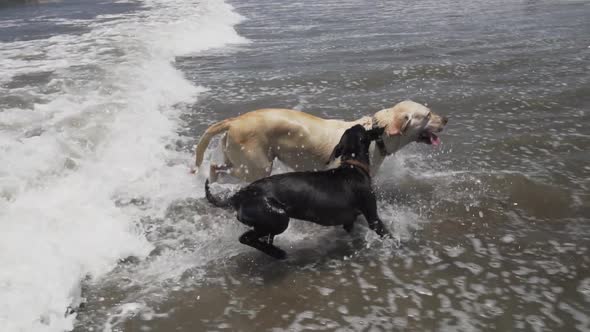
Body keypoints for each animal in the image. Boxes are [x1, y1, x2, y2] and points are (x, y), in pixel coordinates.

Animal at [194, 100, 448, 183]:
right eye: (428, 115)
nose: (447, 119)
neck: (375, 133)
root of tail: (234, 120)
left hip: (241, 160)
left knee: (218, 167)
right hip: (258, 167)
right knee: (216, 168)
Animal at [206, 124, 390, 260]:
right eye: (362, 129)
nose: (368, 124)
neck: (352, 165)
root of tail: (238, 196)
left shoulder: (349, 221)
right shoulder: (373, 217)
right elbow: (385, 233)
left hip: (270, 222)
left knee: (261, 239)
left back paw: (274, 252)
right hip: (278, 217)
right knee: (245, 238)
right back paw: (278, 253)